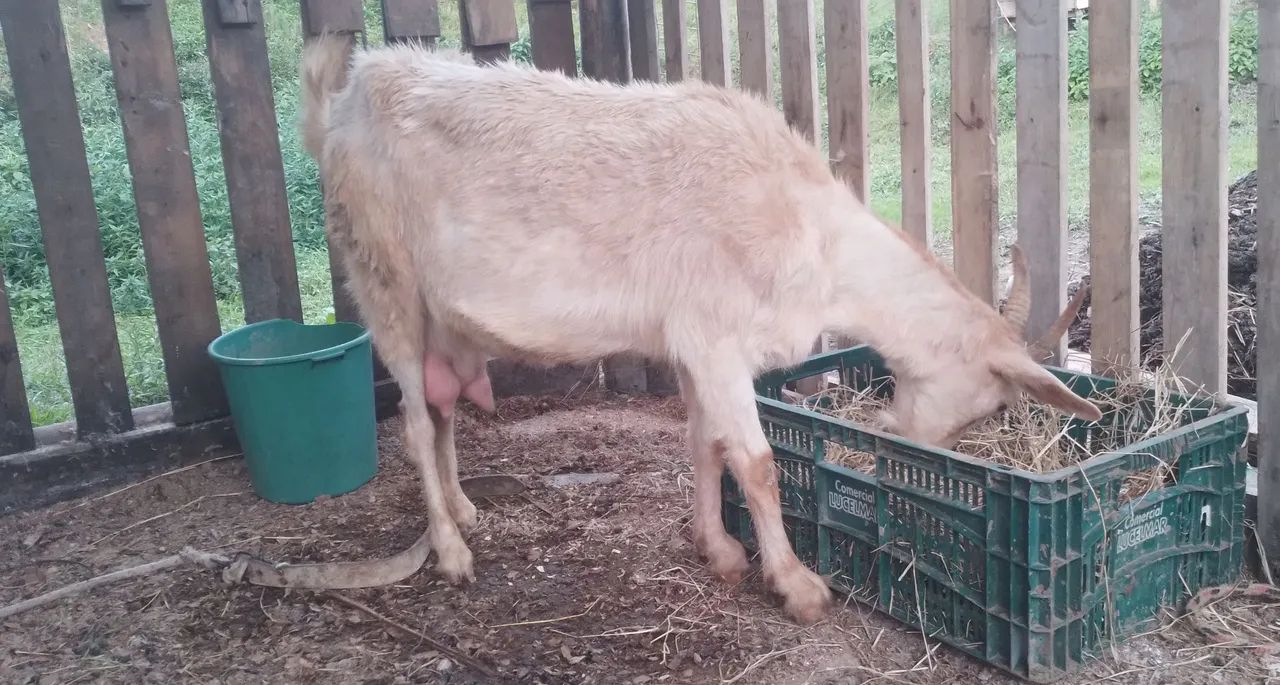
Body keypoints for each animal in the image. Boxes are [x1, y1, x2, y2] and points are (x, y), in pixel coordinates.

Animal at [299, 36, 1101, 625]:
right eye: (994, 404)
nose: (911, 443)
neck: (812, 235)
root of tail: (343, 100)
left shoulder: (691, 343)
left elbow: (703, 443)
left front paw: (717, 549)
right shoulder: (716, 339)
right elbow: (757, 461)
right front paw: (797, 585)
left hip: (438, 313)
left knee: (438, 413)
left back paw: (465, 510)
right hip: (382, 275)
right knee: (409, 419)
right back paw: (452, 553)